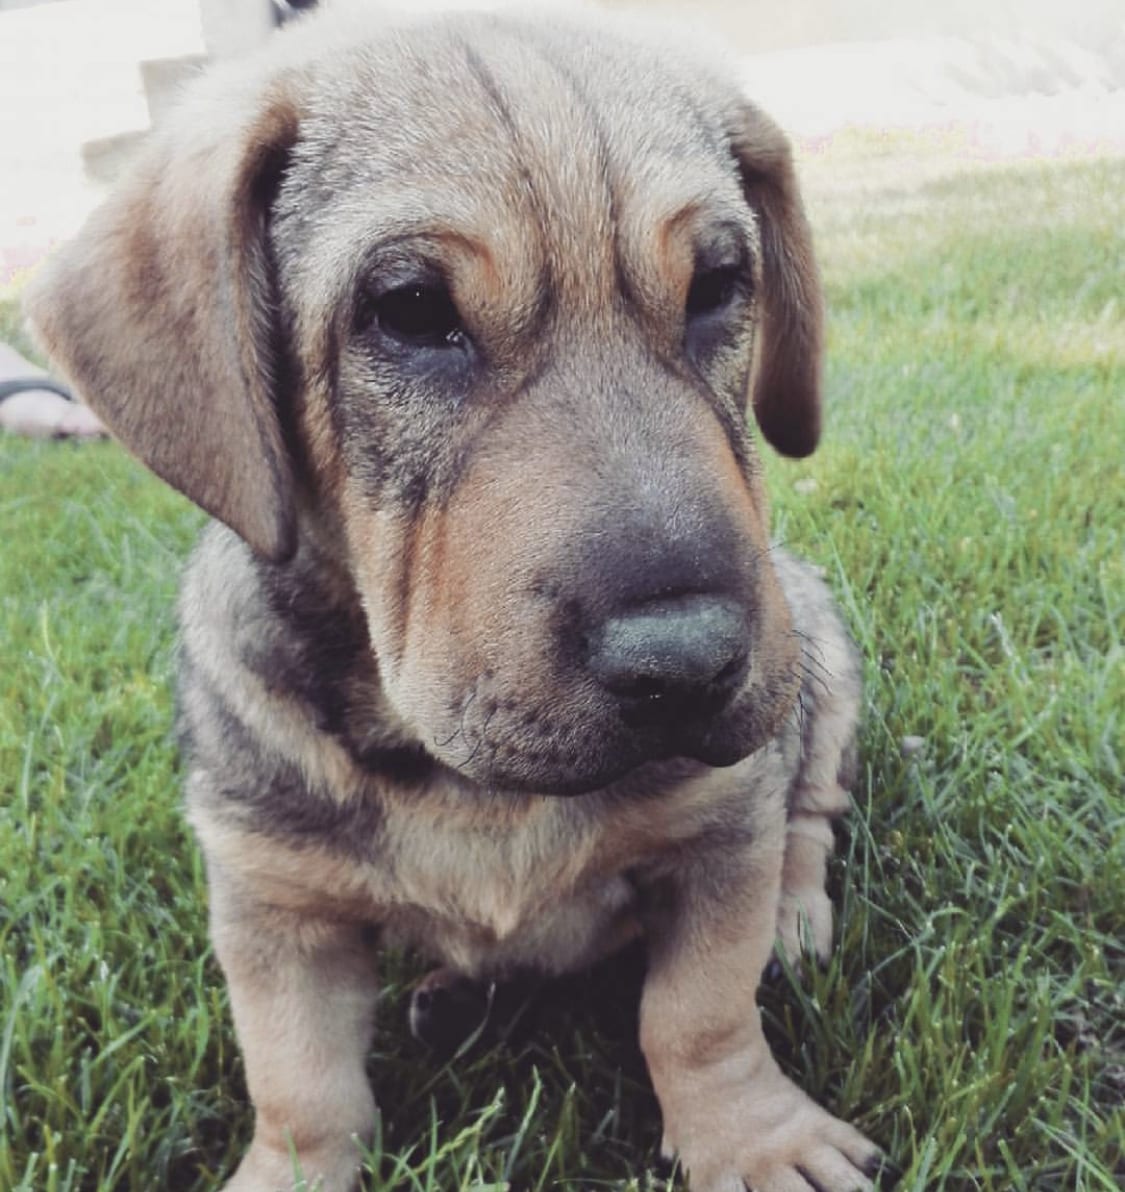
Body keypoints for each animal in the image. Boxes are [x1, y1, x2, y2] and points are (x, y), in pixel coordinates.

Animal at [22, 4, 872, 1187]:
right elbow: (300, 1085)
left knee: (812, 815)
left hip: (823, 669)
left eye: (716, 286)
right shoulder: (272, 903)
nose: (690, 659)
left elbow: (697, 1016)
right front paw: (288, 1167)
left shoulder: (718, 832)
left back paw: (791, 918)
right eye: (412, 309)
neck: (462, 781)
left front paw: (753, 1138)